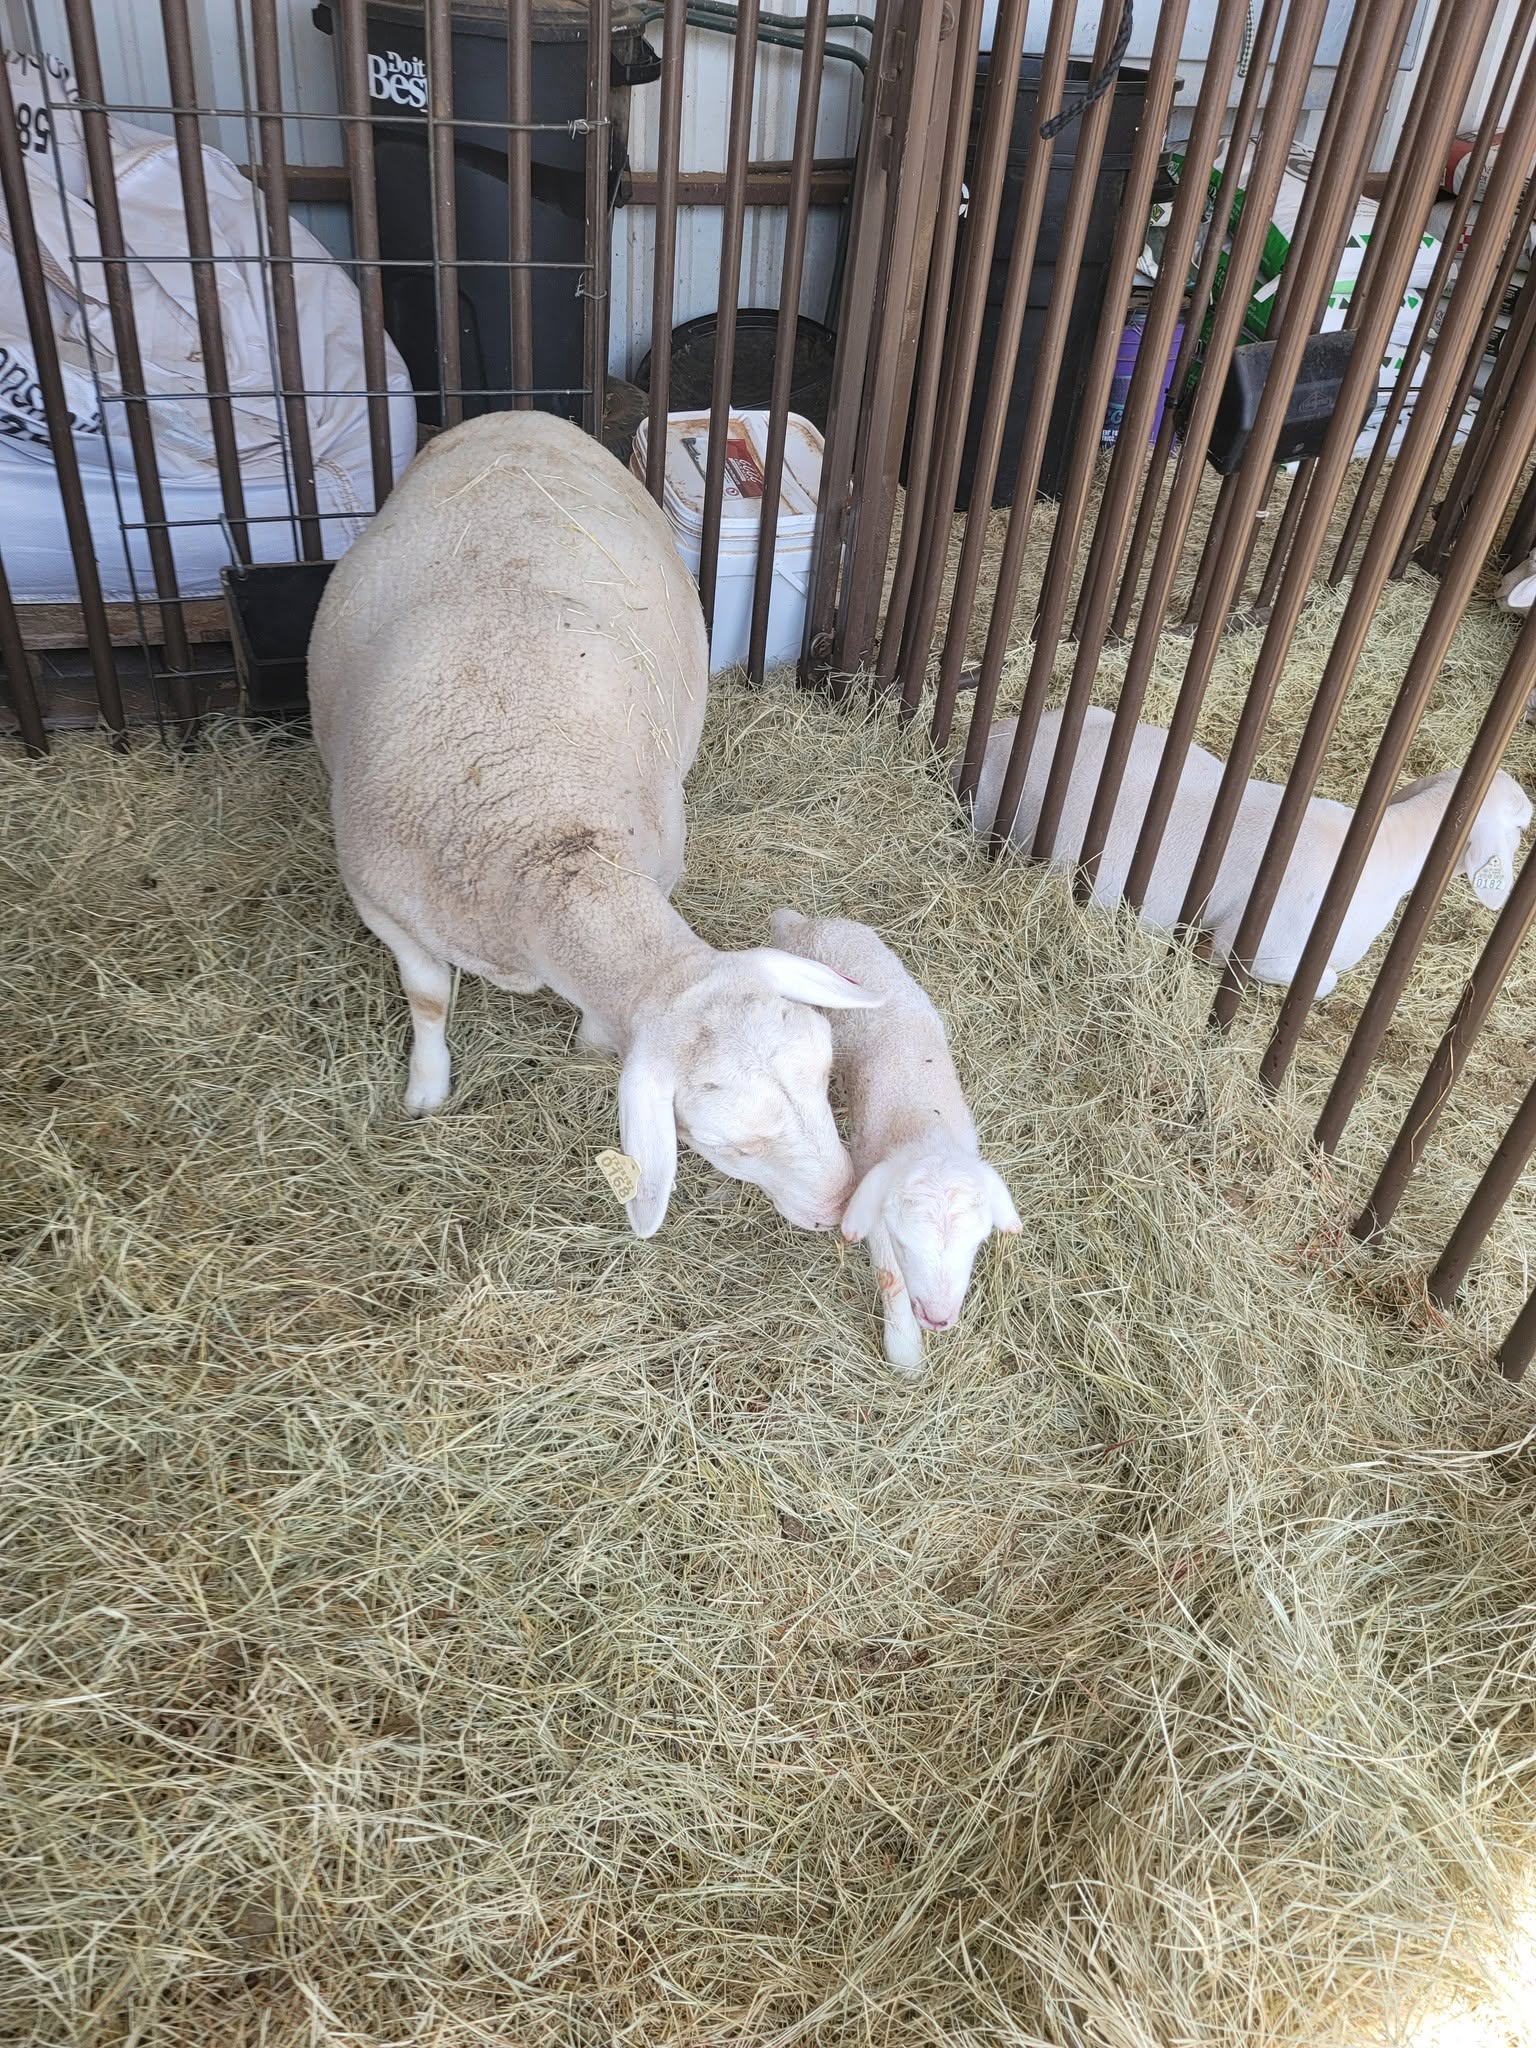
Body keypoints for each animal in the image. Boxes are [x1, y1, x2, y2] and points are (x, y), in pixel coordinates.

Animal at [306, 410, 881, 1240]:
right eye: (725, 1147)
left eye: (827, 1071)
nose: (841, 1206)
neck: (546, 840)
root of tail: (517, 413)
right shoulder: (380, 901)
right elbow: (429, 997)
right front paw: (426, 1090)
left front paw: (588, 1045)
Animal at [769, 908, 1020, 1374]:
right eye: (905, 1244)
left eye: (977, 1244)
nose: (938, 1319)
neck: (924, 1127)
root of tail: (806, 923)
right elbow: (890, 1278)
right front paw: (905, 1353)